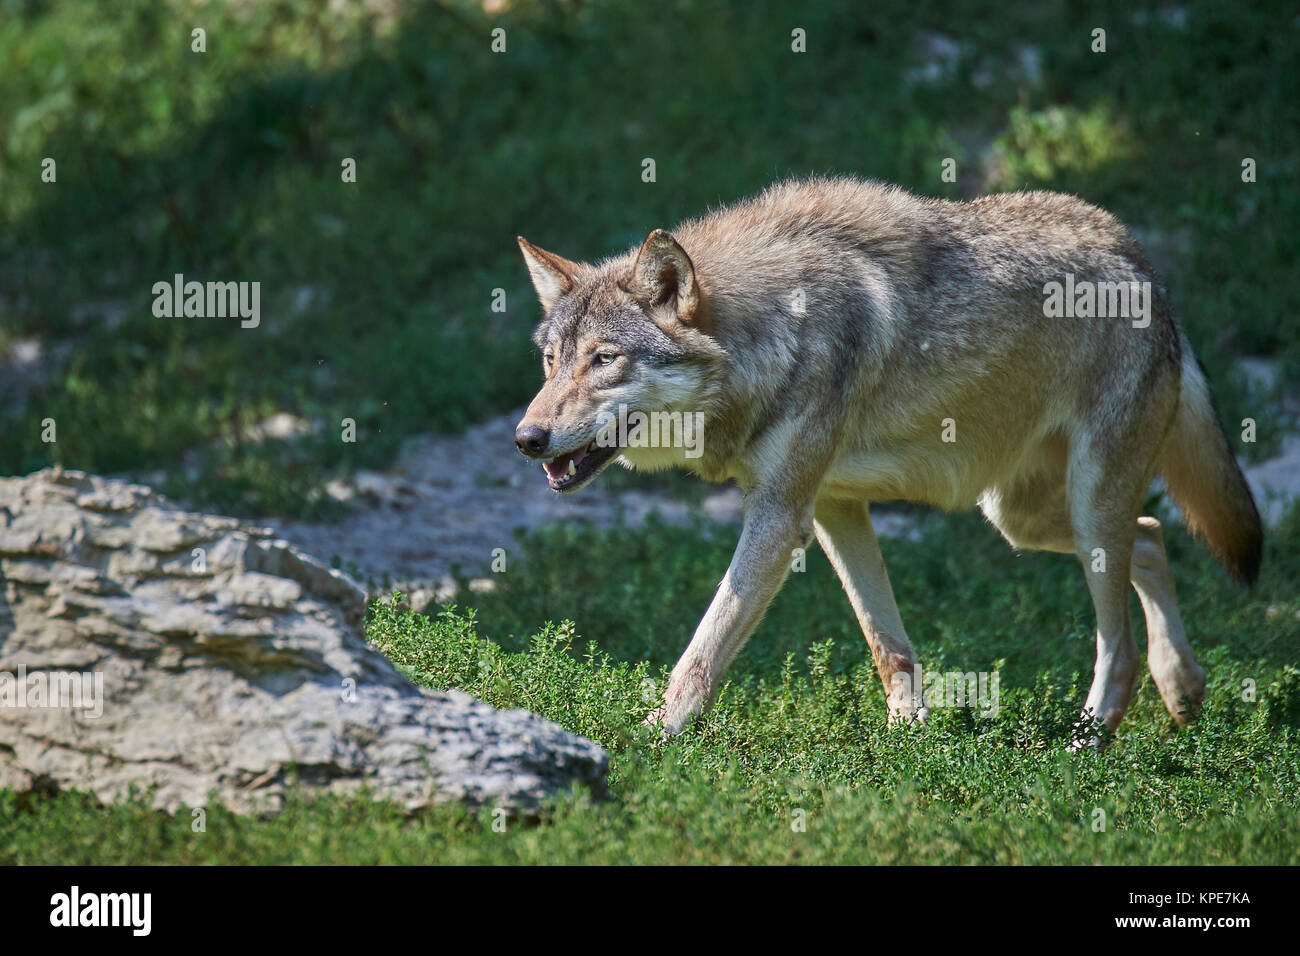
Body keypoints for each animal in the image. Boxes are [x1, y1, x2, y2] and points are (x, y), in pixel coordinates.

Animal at [513, 176, 1262, 744]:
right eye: (550, 362)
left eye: (604, 360)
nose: (526, 438)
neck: (770, 333)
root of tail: (1139, 258)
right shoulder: (833, 508)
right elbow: (886, 642)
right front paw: (910, 738)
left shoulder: (779, 517)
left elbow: (701, 650)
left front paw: (657, 735)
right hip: (1026, 520)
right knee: (1155, 537)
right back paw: (1184, 692)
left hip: (1082, 510)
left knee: (1120, 642)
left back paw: (1088, 745)